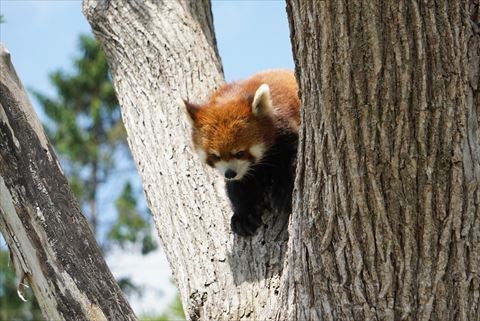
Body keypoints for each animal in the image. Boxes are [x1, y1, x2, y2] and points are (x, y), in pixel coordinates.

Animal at [181, 69, 298, 235]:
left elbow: (292, 162)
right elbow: (237, 186)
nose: (230, 173)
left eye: (240, 153)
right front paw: (243, 215)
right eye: (215, 156)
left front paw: (283, 193)